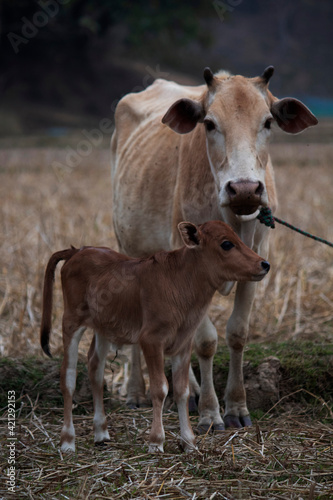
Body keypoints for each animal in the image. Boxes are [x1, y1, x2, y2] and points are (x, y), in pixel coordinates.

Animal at [40, 221, 268, 456]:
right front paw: (156, 441)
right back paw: (67, 441)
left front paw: (189, 442)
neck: (181, 284)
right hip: (71, 322)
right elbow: (160, 389)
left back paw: (101, 434)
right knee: (68, 377)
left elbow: (182, 391)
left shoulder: (183, 344)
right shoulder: (151, 340)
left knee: (96, 369)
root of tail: (78, 250)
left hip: (103, 327)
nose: (264, 264)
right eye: (226, 244)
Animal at [111, 67, 316, 430]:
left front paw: (236, 407)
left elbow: (237, 333)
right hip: (129, 247)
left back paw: (187, 392)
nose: (245, 188)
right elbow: (205, 341)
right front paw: (210, 412)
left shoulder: (259, 260)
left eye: (268, 122)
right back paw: (137, 392)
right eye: (209, 123)